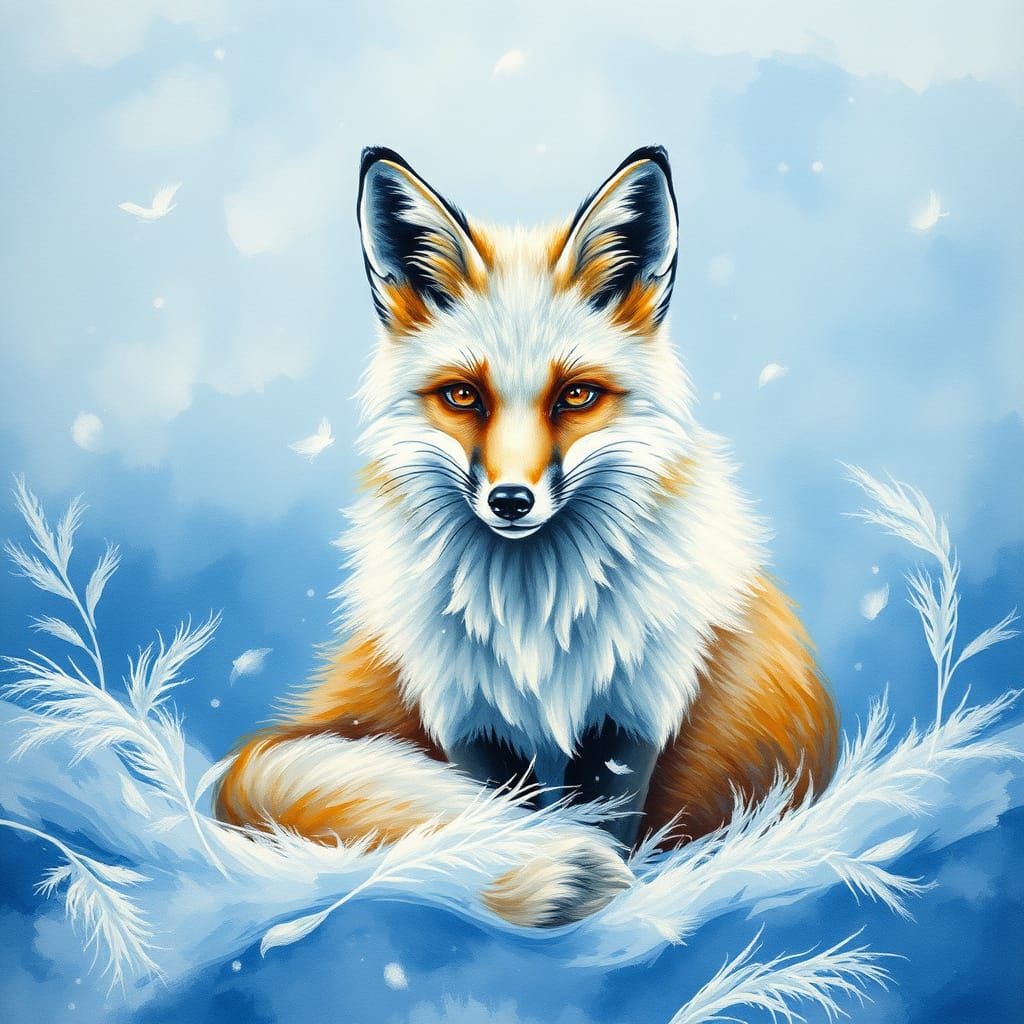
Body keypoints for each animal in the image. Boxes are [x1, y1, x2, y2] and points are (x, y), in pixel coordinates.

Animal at [215, 145, 839, 928]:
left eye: (575, 395)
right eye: (463, 396)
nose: (510, 500)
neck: (534, 622)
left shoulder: (633, 711)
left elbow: (607, 818)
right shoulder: (468, 718)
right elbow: (501, 814)